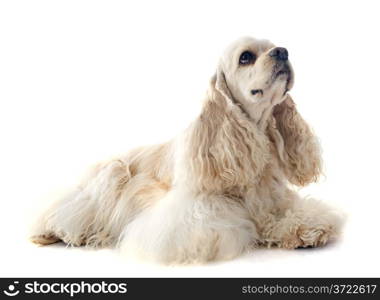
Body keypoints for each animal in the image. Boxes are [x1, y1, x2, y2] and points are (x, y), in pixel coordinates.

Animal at [31, 37, 342, 262]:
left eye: (274, 45)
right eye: (246, 57)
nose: (283, 51)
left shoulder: (275, 199)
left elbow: (297, 213)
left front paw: (304, 230)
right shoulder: (191, 214)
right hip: (112, 173)